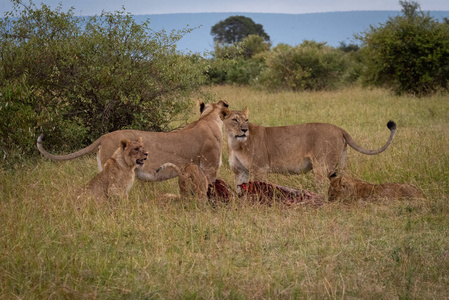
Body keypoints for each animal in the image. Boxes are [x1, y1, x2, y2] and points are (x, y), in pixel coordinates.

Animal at [222, 107, 394, 192]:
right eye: (235, 120)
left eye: (246, 120)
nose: (244, 130)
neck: (235, 143)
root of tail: (339, 129)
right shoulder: (239, 171)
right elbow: (239, 189)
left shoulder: (260, 169)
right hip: (340, 165)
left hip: (322, 166)